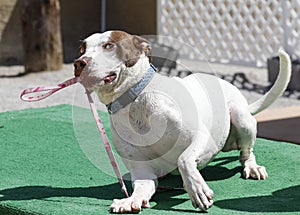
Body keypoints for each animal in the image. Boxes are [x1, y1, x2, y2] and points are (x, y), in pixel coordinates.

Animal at [72, 30, 290, 213]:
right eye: (82, 49)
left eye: (109, 45)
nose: (78, 63)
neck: (136, 102)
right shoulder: (142, 171)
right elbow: (143, 185)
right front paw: (131, 200)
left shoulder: (203, 139)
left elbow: (184, 160)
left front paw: (196, 190)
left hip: (242, 120)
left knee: (246, 152)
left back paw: (252, 167)